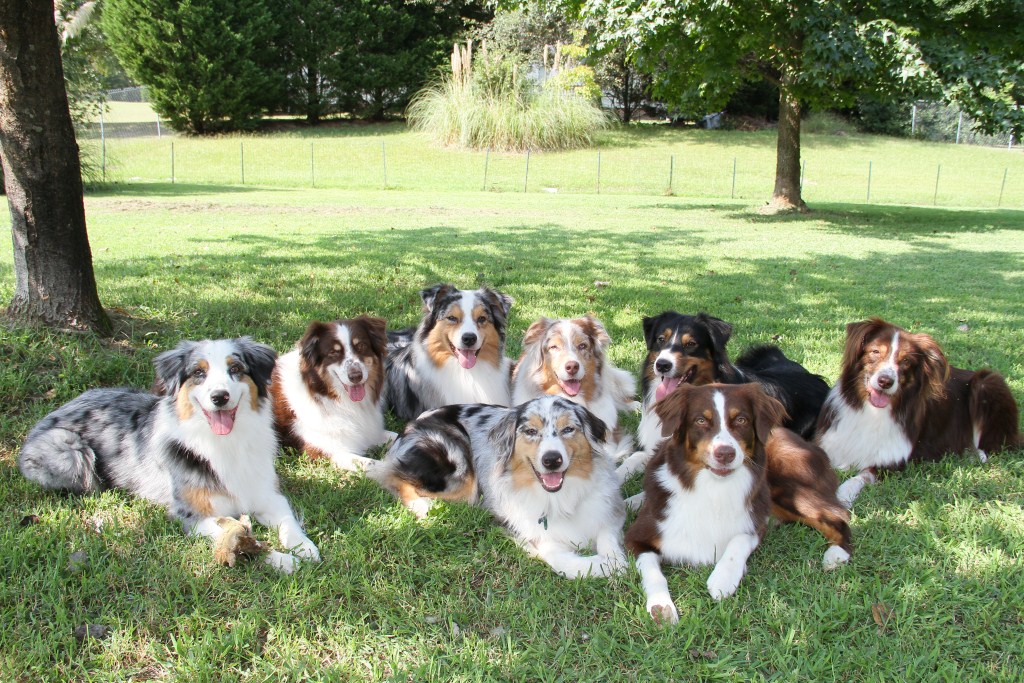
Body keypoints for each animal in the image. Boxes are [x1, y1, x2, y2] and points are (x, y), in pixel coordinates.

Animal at [272, 319, 395, 471]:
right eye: (333, 352)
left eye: (361, 346)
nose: (356, 376)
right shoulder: (326, 452)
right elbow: (378, 465)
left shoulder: (368, 432)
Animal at [626, 385, 851, 626]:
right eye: (700, 420)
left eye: (741, 419)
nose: (725, 453)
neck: (712, 488)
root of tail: (809, 445)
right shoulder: (638, 536)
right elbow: (653, 572)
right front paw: (661, 606)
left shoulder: (756, 520)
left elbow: (740, 540)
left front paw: (724, 578)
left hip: (787, 489)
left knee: (839, 516)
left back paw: (836, 554)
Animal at [815, 319, 1015, 507]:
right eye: (875, 352)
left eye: (905, 361)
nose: (885, 381)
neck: (871, 411)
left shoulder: (892, 461)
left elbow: (859, 477)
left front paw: (841, 495)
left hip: (987, 382)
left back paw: (976, 454)